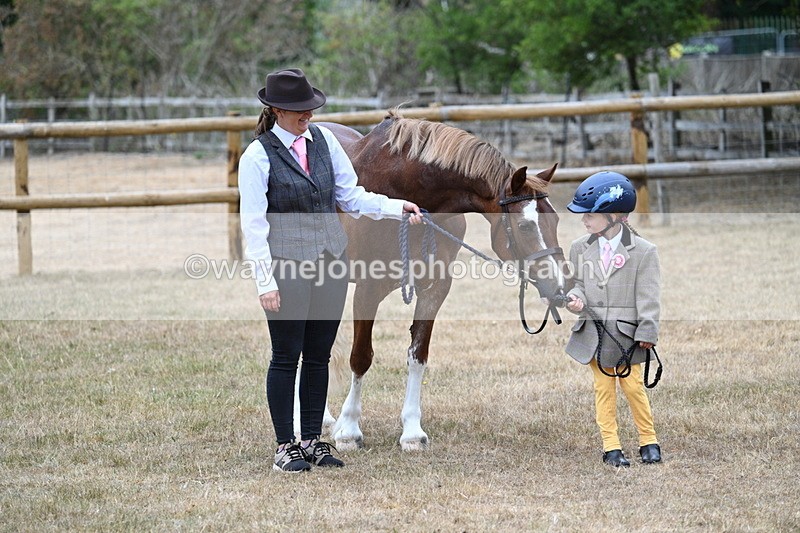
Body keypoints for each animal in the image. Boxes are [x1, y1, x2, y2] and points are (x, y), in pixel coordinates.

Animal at [320, 110, 568, 451]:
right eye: (525, 226)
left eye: (555, 220)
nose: (559, 288)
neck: (408, 194)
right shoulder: (368, 289)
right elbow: (361, 357)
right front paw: (349, 430)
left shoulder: (435, 288)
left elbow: (417, 355)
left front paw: (412, 432)